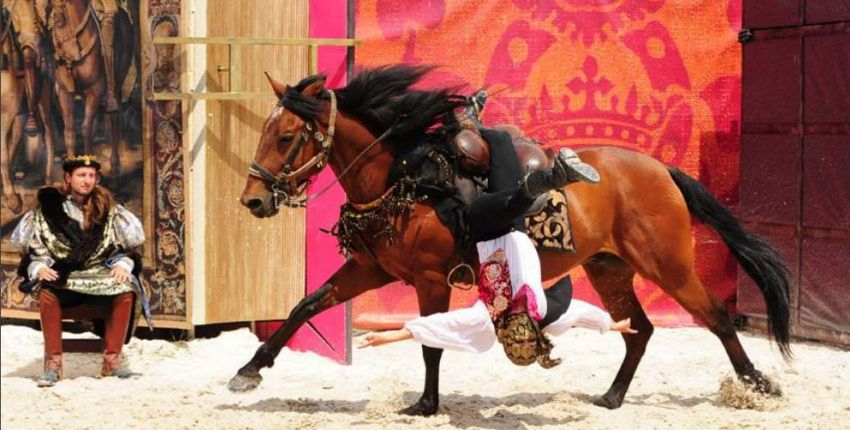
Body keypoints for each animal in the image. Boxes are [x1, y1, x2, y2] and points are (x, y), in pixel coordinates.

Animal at [227, 65, 788, 414]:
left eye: (285, 137)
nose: (252, 200)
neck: (404, 177)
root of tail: (661, 170)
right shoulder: (370, 270)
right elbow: (305, 305)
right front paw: (250, 369)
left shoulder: (430, 280)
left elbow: (430, 342)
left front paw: (426, 404)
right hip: (610, 268)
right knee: (641, 330)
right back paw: (612, 396)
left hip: (668, 265)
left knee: (715, 317)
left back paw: (758, 383)